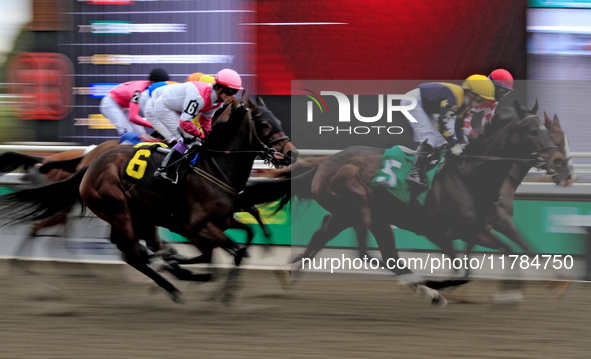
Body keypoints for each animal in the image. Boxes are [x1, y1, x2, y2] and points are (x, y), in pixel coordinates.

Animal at [0, 95, 284, 304]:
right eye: (265, 125)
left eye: (278, 121)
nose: (288, 153)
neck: (213, 167)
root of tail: (88, 165)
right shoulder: (198, 226)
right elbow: (234, 250)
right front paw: (217, 290)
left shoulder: (221, 221)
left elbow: (244, 235)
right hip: (118, 210)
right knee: (132, 254)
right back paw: (173, 286)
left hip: (140, 214)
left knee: (135, 248)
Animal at [243, 100, 576, 304]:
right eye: (533, 131)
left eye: (550, 134)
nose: (563, 166)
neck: (471, 174)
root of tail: (325, 162)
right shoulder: (450, 231)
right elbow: (475, 265)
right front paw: (450, 287)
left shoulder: (477, 228)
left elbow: (508, 252)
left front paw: (512, 294)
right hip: (362, 208)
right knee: (373, 253)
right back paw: (425, 288)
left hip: (349, 213)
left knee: (329, 234)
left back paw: (289, 271)